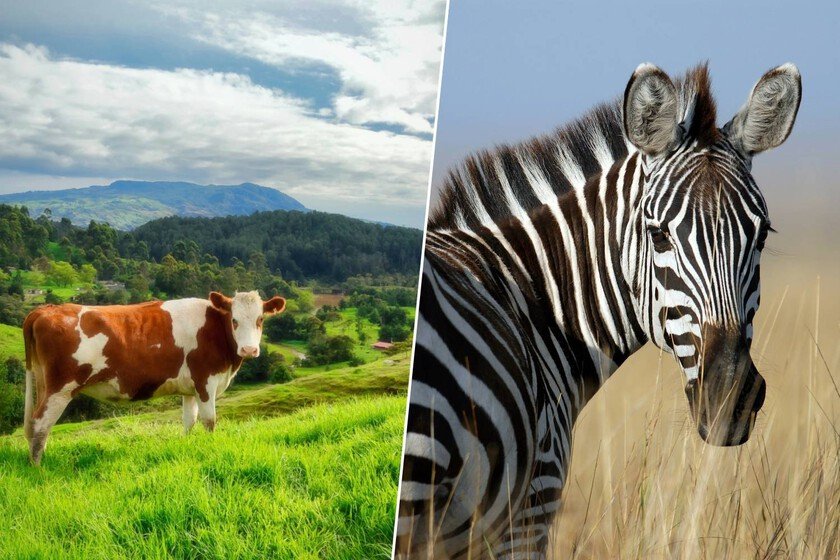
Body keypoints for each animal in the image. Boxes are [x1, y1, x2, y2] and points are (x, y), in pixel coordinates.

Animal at [22, 290, 285, 465]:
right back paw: (38, 467)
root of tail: (47, 309)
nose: (249, 350)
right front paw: (211, 449)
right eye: (234, 320)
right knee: (40, 423)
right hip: (60, 387)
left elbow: (189, 421)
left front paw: (187, 446)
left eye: (260, 319)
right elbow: (209, 421)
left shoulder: (190, 388)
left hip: (43, 382)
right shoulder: (206, 382)